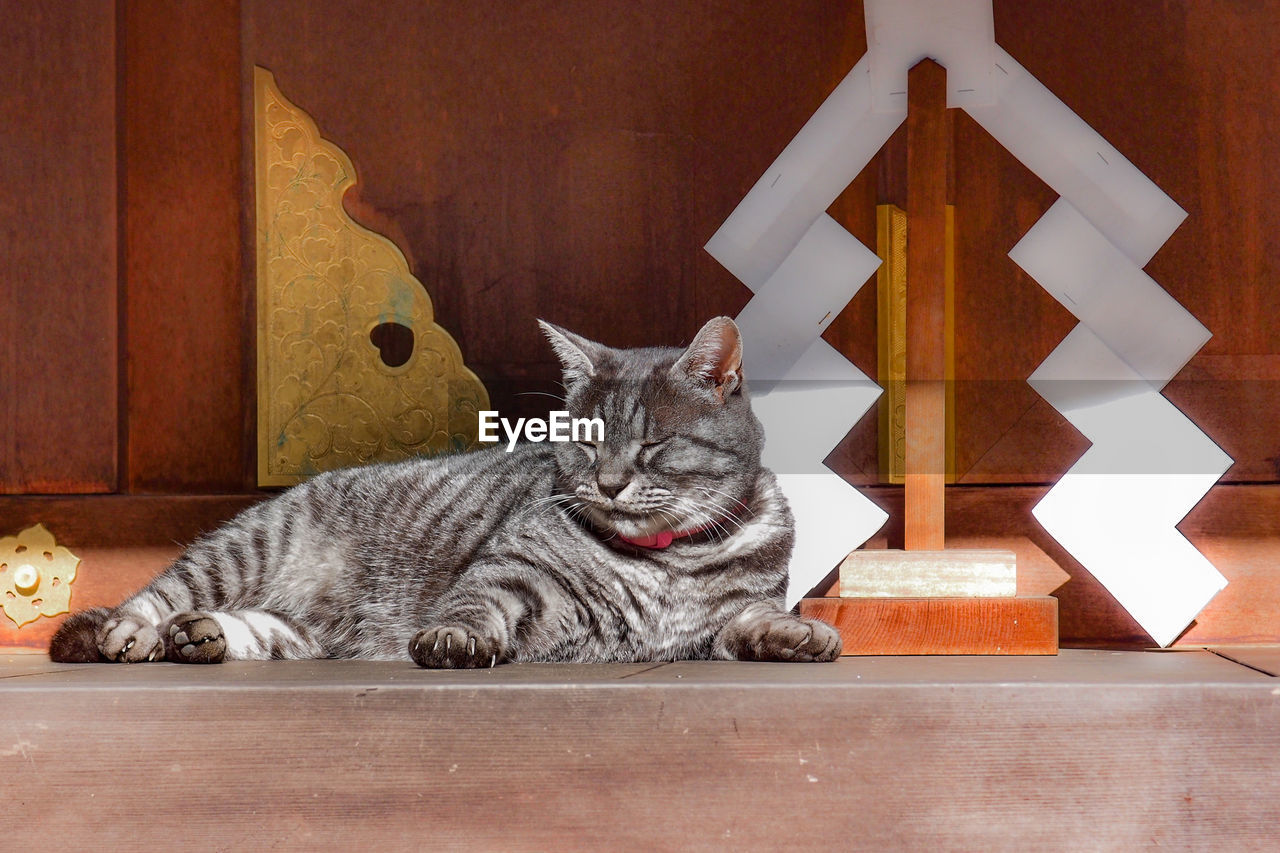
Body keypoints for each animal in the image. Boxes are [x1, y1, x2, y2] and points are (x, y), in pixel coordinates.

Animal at [49, 313, 844, 666]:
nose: (611, 482)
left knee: (251, 629)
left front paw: (795, 633)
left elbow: (751, 620)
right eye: (586, 443)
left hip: (298, 630)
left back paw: (202, 636)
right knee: (152, 596)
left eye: (651, 445)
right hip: (236, 553)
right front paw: (453, 638)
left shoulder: (721, 621)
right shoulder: (513, 571)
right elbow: (472, 604)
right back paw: (134, 633)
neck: (668, 561)